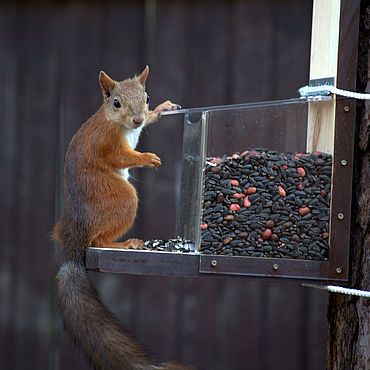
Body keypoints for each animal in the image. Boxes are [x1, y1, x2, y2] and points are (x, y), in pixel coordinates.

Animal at [51, 67, 188, 370]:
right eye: (116, 102)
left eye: (146, 97)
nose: (138, 118)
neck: (121, 124)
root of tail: (73, 245)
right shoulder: (106, 140)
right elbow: (119, 155)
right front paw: (146, 157)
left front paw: (161, 110)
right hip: (123, 199)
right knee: (99, 241)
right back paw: (125, 244)